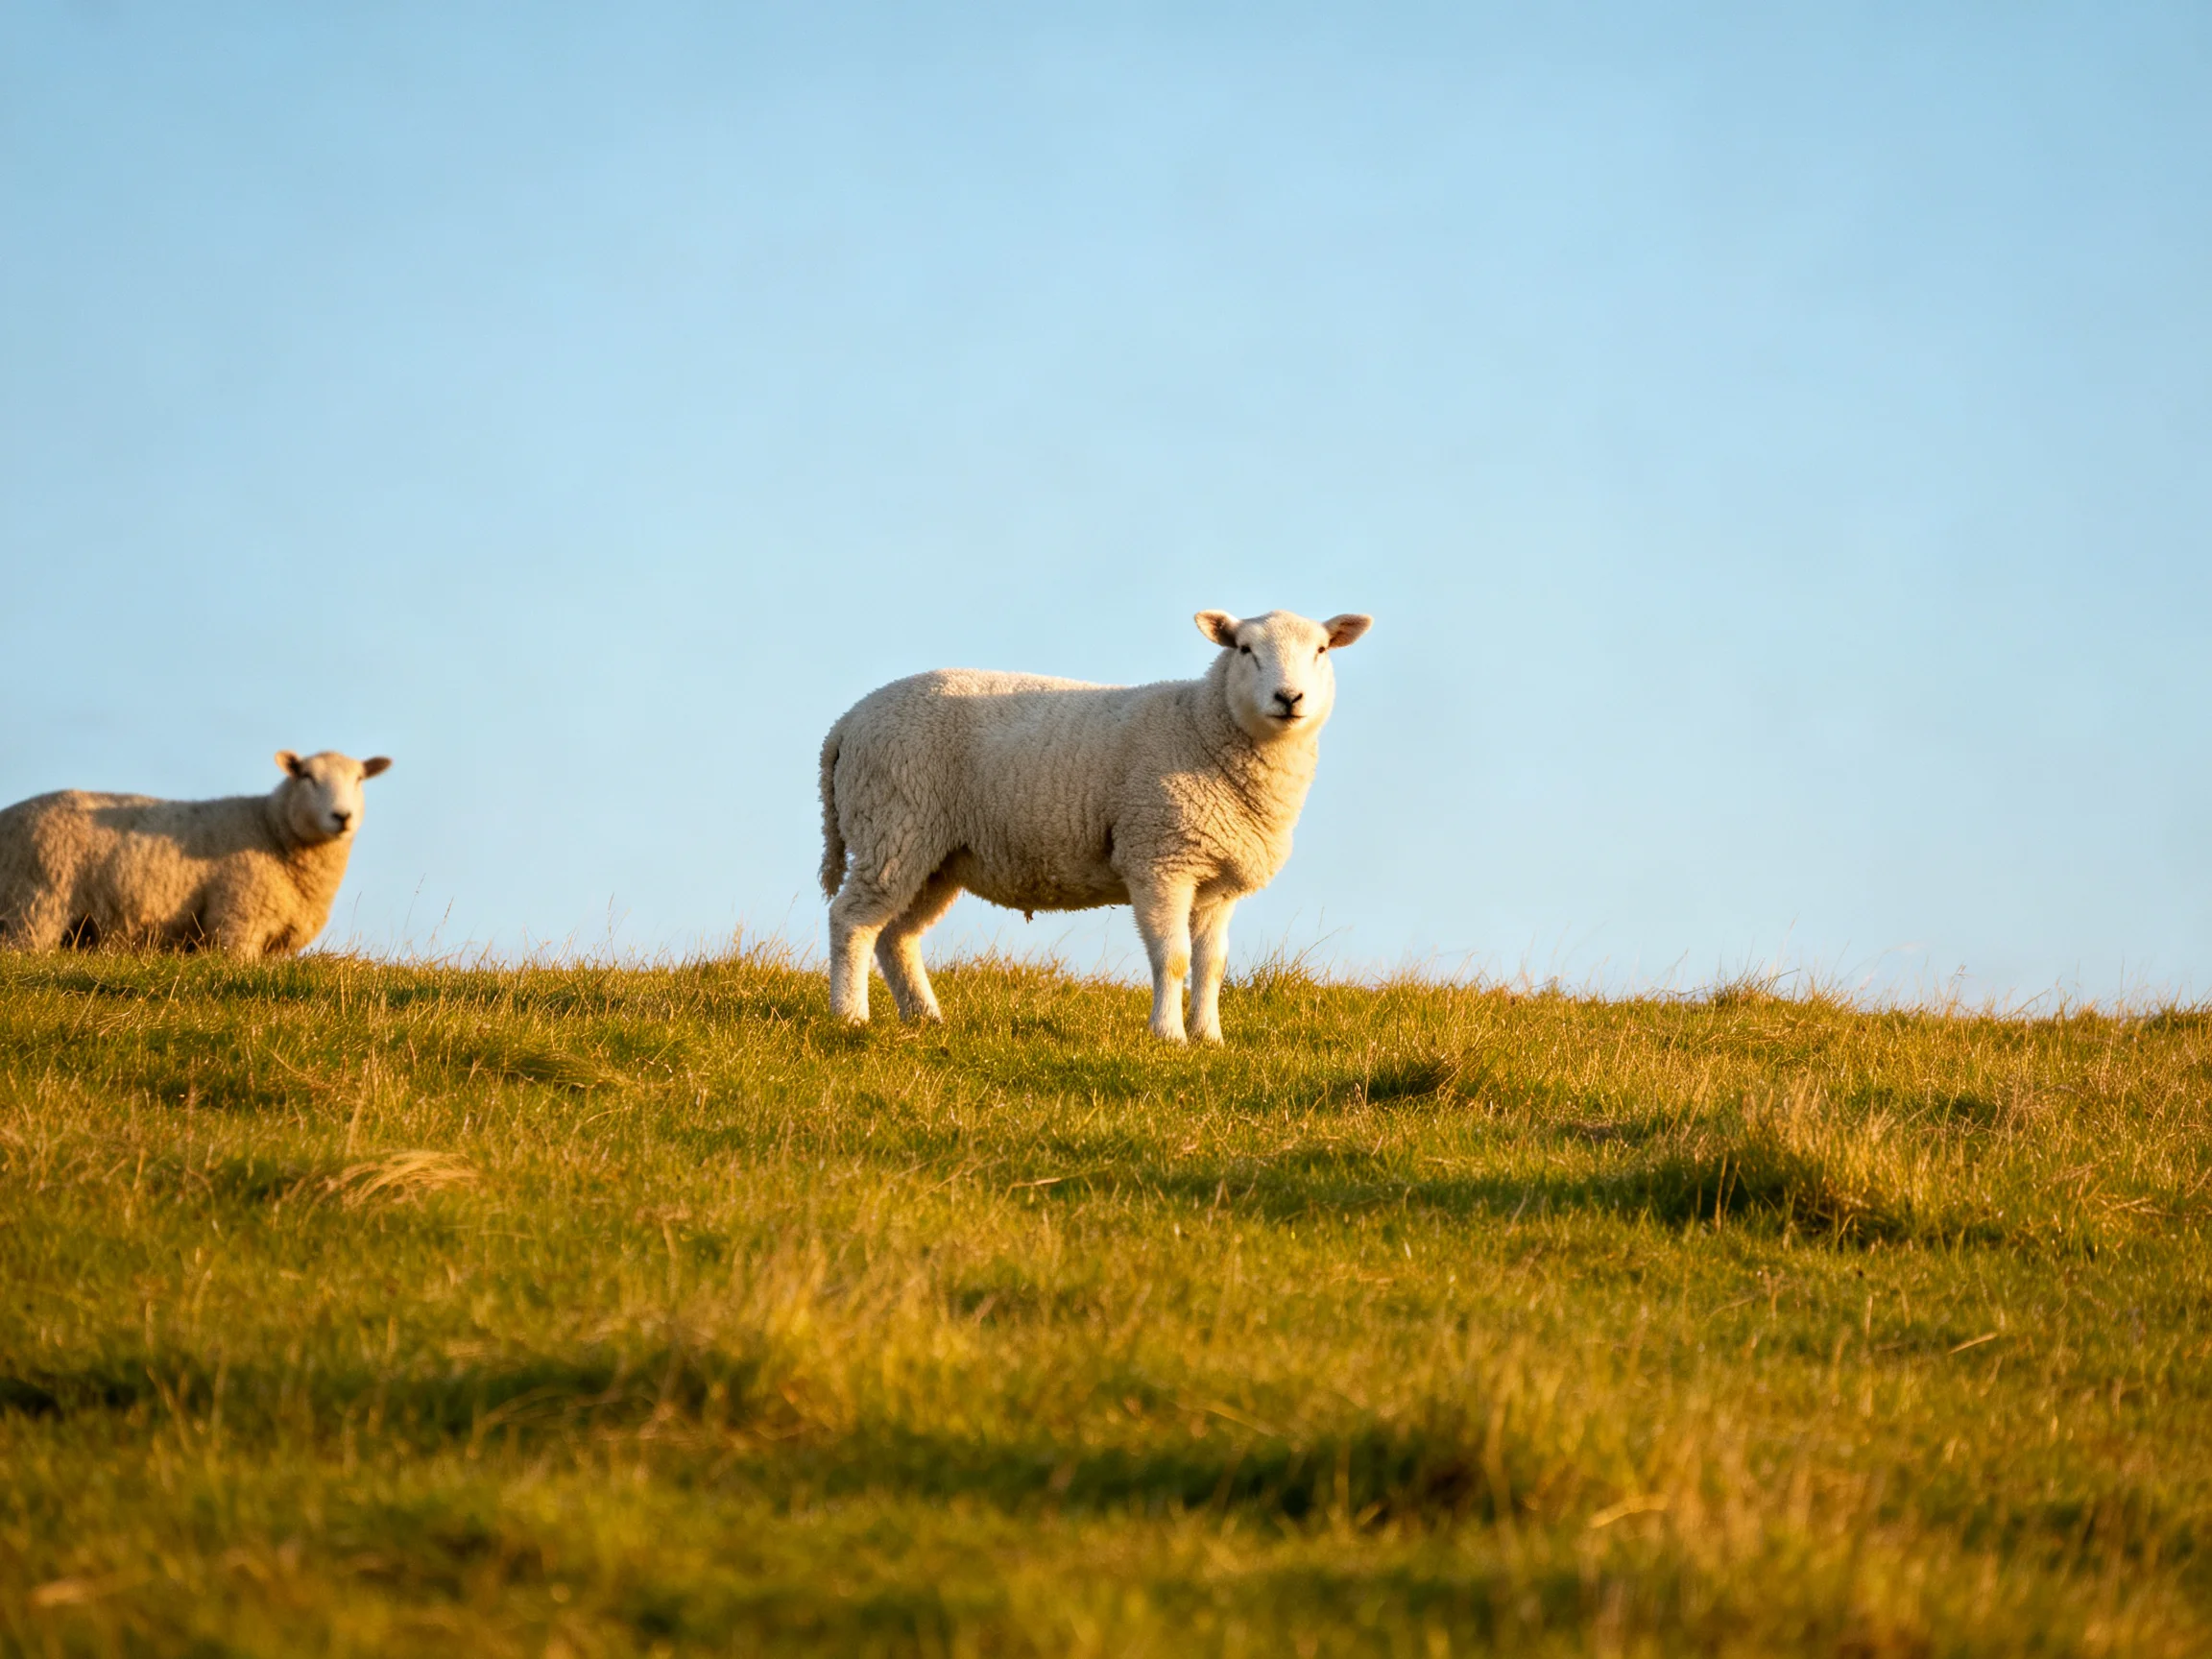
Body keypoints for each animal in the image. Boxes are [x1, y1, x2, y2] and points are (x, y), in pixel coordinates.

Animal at [0, 750, 392, 957]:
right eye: (307, 777)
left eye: (359, 779)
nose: (342, 816)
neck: (270, 827)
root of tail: (7, 816)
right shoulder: (237, 922)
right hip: (34, 906)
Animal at [818, 608, 1371, 1042]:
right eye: (1244, 649)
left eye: (1322, 649)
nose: (1289, 697)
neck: (1200, 724)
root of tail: (846, 723)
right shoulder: (1158, 858)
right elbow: (1172, 958)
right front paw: (1168, 1036)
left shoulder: (1215, 880)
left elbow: (1212, 965)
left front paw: (1209, 1038)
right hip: (892, 823)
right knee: (852, 920)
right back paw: (851, 1018)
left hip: (934, 854)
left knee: (896, 936)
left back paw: (925, 1019)